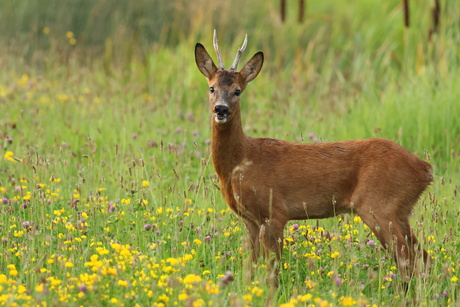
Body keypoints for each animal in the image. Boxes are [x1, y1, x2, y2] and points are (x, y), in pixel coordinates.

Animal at [194, 30, 432, 288]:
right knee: (422, 257)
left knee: (409, 260)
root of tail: (425, 169)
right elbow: (252, 269)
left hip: (380, 206)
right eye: (211, 88)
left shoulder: (275, 212)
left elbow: (272, 271)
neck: (241, 161)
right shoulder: (250, 220)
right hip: (400, 211)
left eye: (237, 90)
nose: (221, 109)